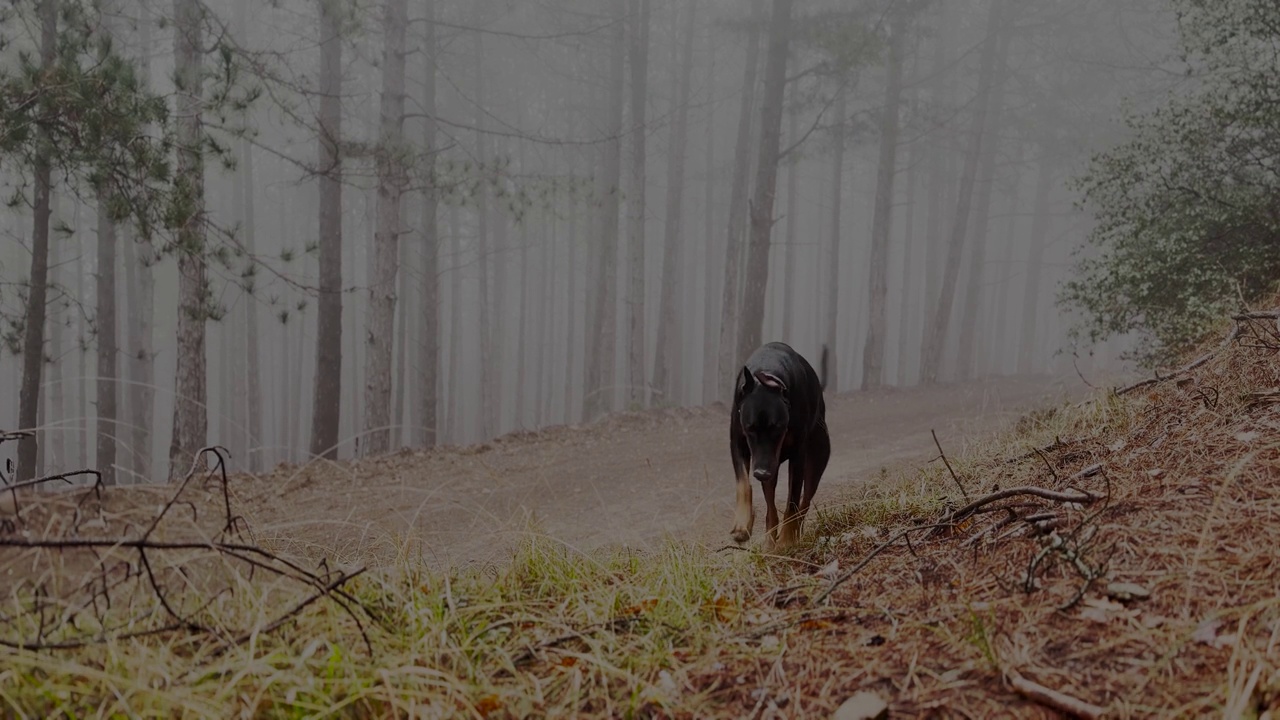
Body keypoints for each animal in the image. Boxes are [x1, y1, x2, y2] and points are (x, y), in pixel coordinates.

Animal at [732, 338, 829, 545]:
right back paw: (769, 543)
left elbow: (793, 500)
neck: (767, 376)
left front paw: (787, 541)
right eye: (750, 428)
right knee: (771, 509)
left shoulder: (798, 454)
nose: (761, 473)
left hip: (817, 454)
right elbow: (743, 482)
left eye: (777, 428)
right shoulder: (737, 441)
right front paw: (742, 524)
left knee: (804, 501)